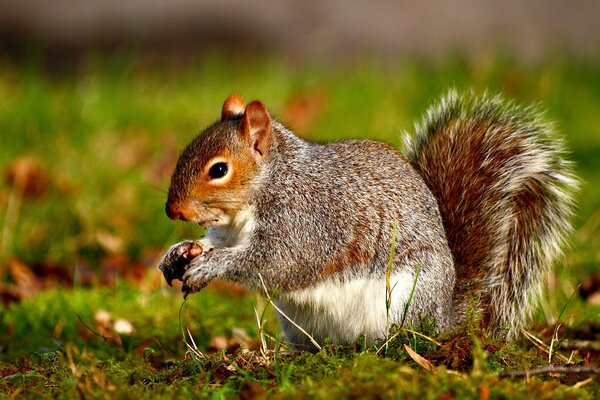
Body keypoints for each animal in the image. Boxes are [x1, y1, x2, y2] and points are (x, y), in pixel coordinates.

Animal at [157, 91, 580, 350]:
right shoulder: (230, 230)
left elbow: (276, 262)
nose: (173, 211)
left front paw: (210, 266)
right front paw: (178, 252)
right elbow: (216, 243)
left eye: (219, 169)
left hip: (404, 301)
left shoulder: (305, 221)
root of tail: (445, 316)